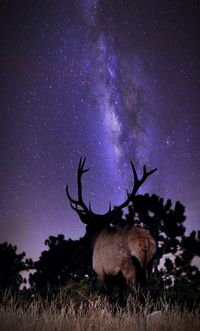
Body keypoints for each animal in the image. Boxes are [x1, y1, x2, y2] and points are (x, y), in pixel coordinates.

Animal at [66, 158, 157, 294]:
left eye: (87, 227)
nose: (83, 239)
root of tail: (145, 242)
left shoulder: (102, 273)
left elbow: (110, 296)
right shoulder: (119, 281)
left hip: (129, 267)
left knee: (136, 292)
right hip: (148, 267)